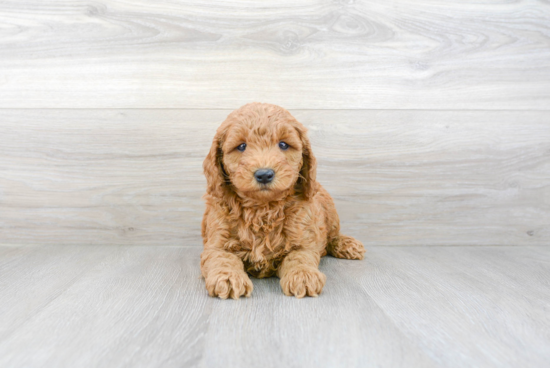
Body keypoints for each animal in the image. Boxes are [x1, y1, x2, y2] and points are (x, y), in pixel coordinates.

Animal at [201, 102, 364, 298]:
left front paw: (303, 275)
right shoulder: (216, 243)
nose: (264, 174)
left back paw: (347, 244)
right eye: (241, 146)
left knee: (332, 235)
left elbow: (299, 257)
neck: (263, 208)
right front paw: (228, 277)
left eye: (284, 144)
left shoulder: (303, 240)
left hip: (329, 209)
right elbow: (222, 258)